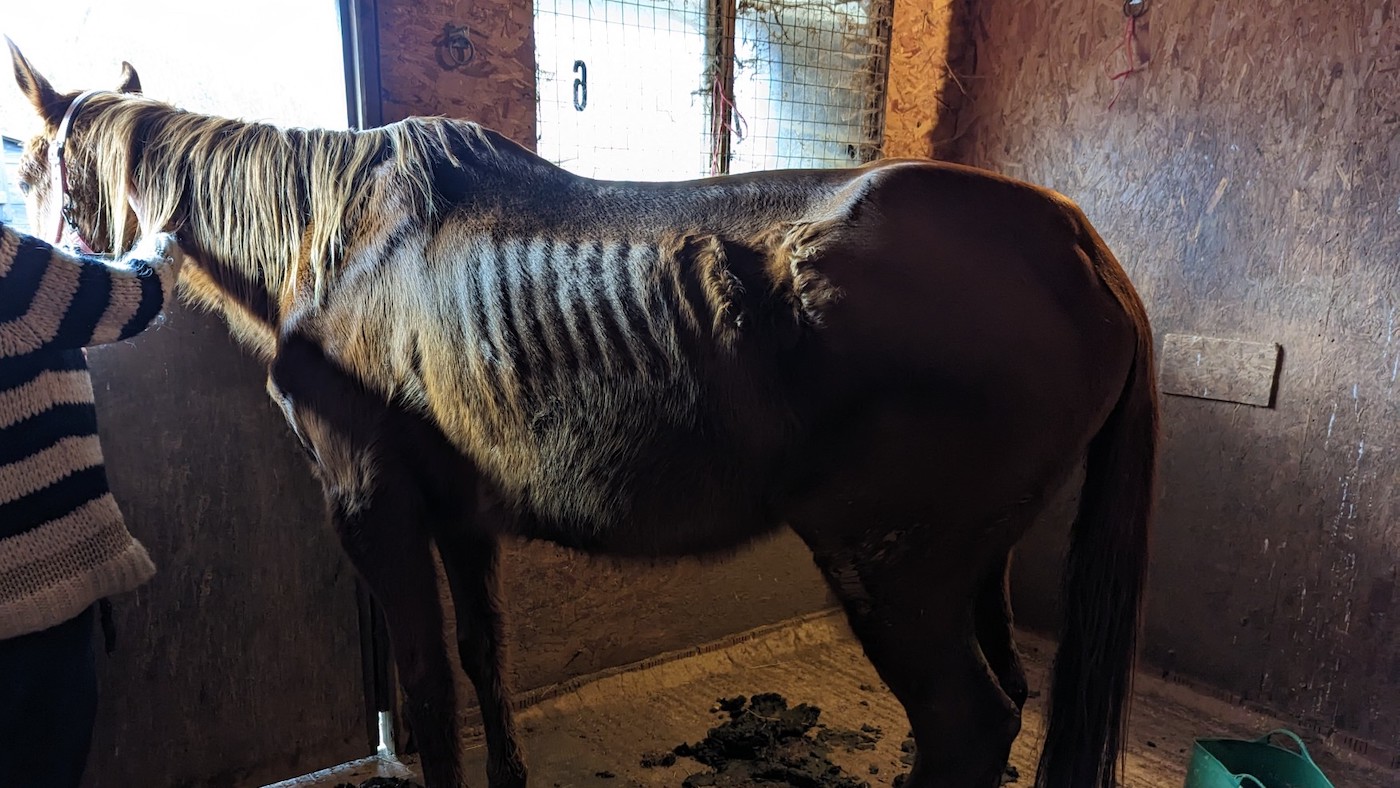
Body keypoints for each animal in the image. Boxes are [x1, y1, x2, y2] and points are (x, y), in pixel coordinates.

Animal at [8, 39, 1157, 788]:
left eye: (31, 157)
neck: (341, 241)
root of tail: (1082, 250)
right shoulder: (460, 516)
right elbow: (484, 661)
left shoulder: (372, 509)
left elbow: (428, 690)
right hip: (972, 566)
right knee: (1005, 699)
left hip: (896, 571)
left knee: (968, 724)